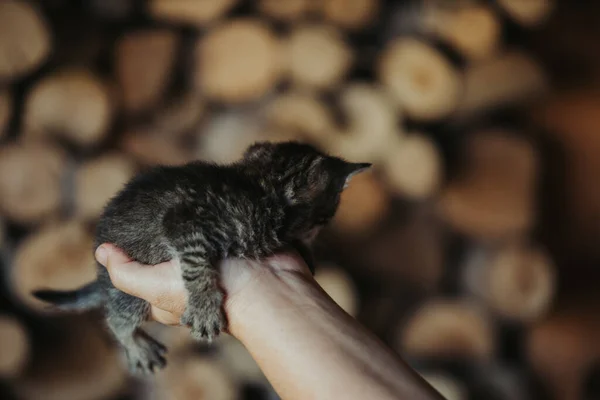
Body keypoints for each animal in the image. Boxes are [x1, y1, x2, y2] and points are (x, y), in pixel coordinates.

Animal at [34, 141, 370, 376]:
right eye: (326, 216)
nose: (321, 230)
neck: (260, 188)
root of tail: (99, 273)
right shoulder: (183, 221)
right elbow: (196, 264)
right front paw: (205, 306)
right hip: (126, 294)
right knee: (117, 319)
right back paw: (136, 345)